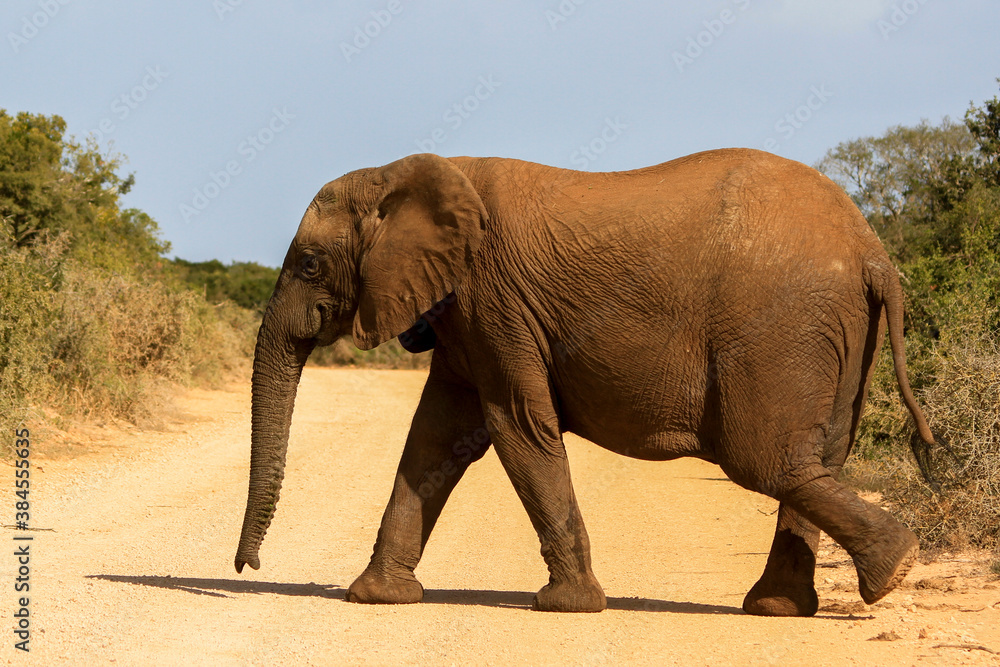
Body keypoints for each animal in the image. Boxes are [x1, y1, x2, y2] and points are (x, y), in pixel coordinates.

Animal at [234, 149, 939, 616]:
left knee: (765, 458)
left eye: (309, 263)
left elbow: (516, 428)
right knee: (819, 457)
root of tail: (873, 250)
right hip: (837, 331)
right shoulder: (467, 315)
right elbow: (435, 440)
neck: (404, 172)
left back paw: (891, 567)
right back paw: (793, 603)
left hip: (779, 327)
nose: (247, 565)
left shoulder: (495, 301)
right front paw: (378, 597)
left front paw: (566, 606)